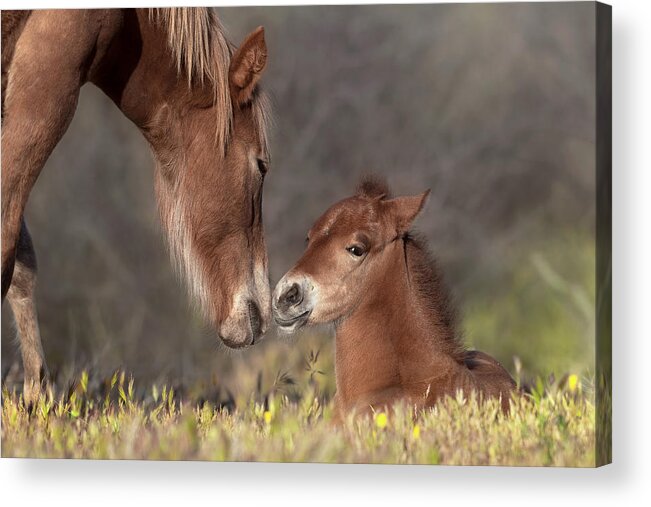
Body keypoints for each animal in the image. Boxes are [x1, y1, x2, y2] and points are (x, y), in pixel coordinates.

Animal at [2, 7, 272, 404]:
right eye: (262, 165)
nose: (263, 312)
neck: (131, 17)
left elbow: (22, 262)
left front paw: (37, 396)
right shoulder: (47, 83)